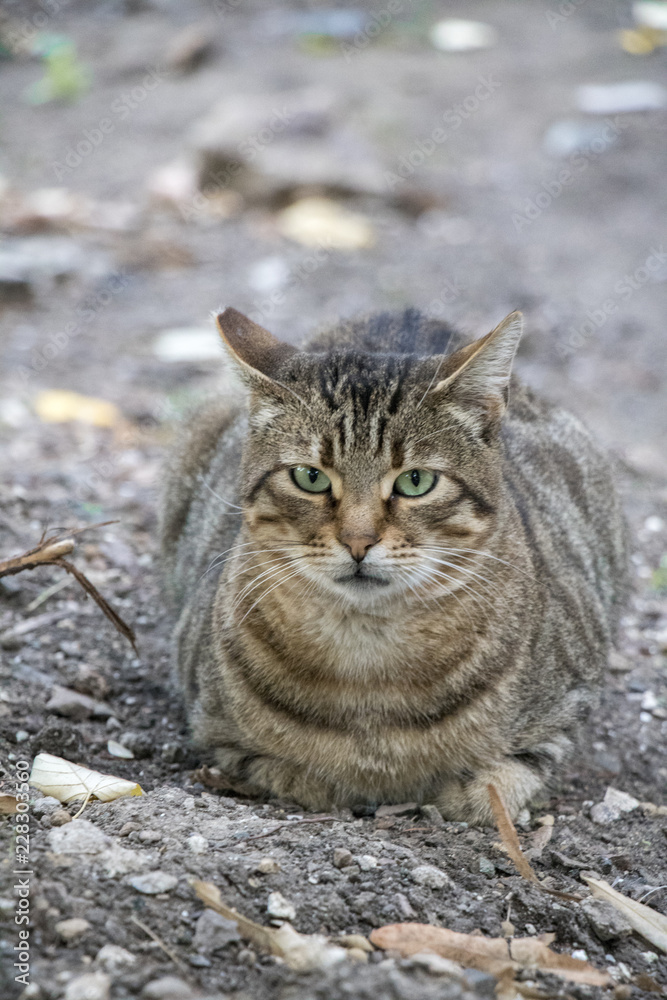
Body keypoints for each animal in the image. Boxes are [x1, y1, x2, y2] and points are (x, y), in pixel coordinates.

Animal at [159, 308, 628, 824]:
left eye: (415, 481)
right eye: (309, 477)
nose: (358, 541)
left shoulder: (565, 714)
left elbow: (496, 787)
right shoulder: (214, 731)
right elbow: (300, 778)